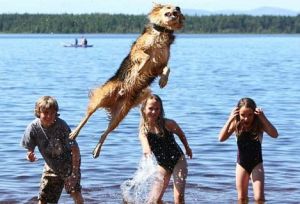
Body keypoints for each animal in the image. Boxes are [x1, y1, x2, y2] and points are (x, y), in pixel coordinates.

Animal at [69, 3, 185, 159]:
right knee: (86, 117)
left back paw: (97, 150)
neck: (161, 33)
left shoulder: (160, 65)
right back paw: (74, 133)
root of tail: (116, 98)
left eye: (177, 8)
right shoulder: (138, 49)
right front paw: (140, 69)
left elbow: (167, 68)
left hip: (120, 114)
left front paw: (163, 81)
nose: (178, 8)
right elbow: (146, 57)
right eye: (168, 7)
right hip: (102, 97)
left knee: (105, 132)